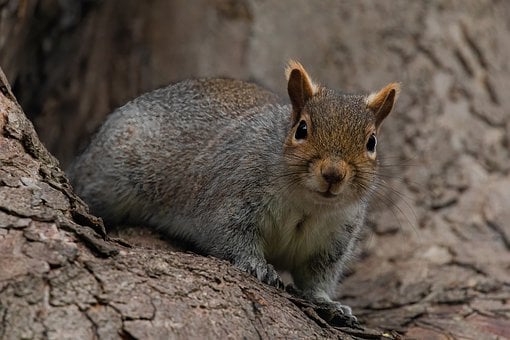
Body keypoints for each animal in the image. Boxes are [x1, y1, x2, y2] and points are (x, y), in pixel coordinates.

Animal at [67, 61, 398, 318]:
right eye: (301, 129)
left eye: (371, 142)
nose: (333, 174)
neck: (307, 205)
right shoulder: (232, 196)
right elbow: (230, 236)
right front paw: (257, 265)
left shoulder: (334, 239)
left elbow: (316, 277)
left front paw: (327, 303)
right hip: (111, 176)